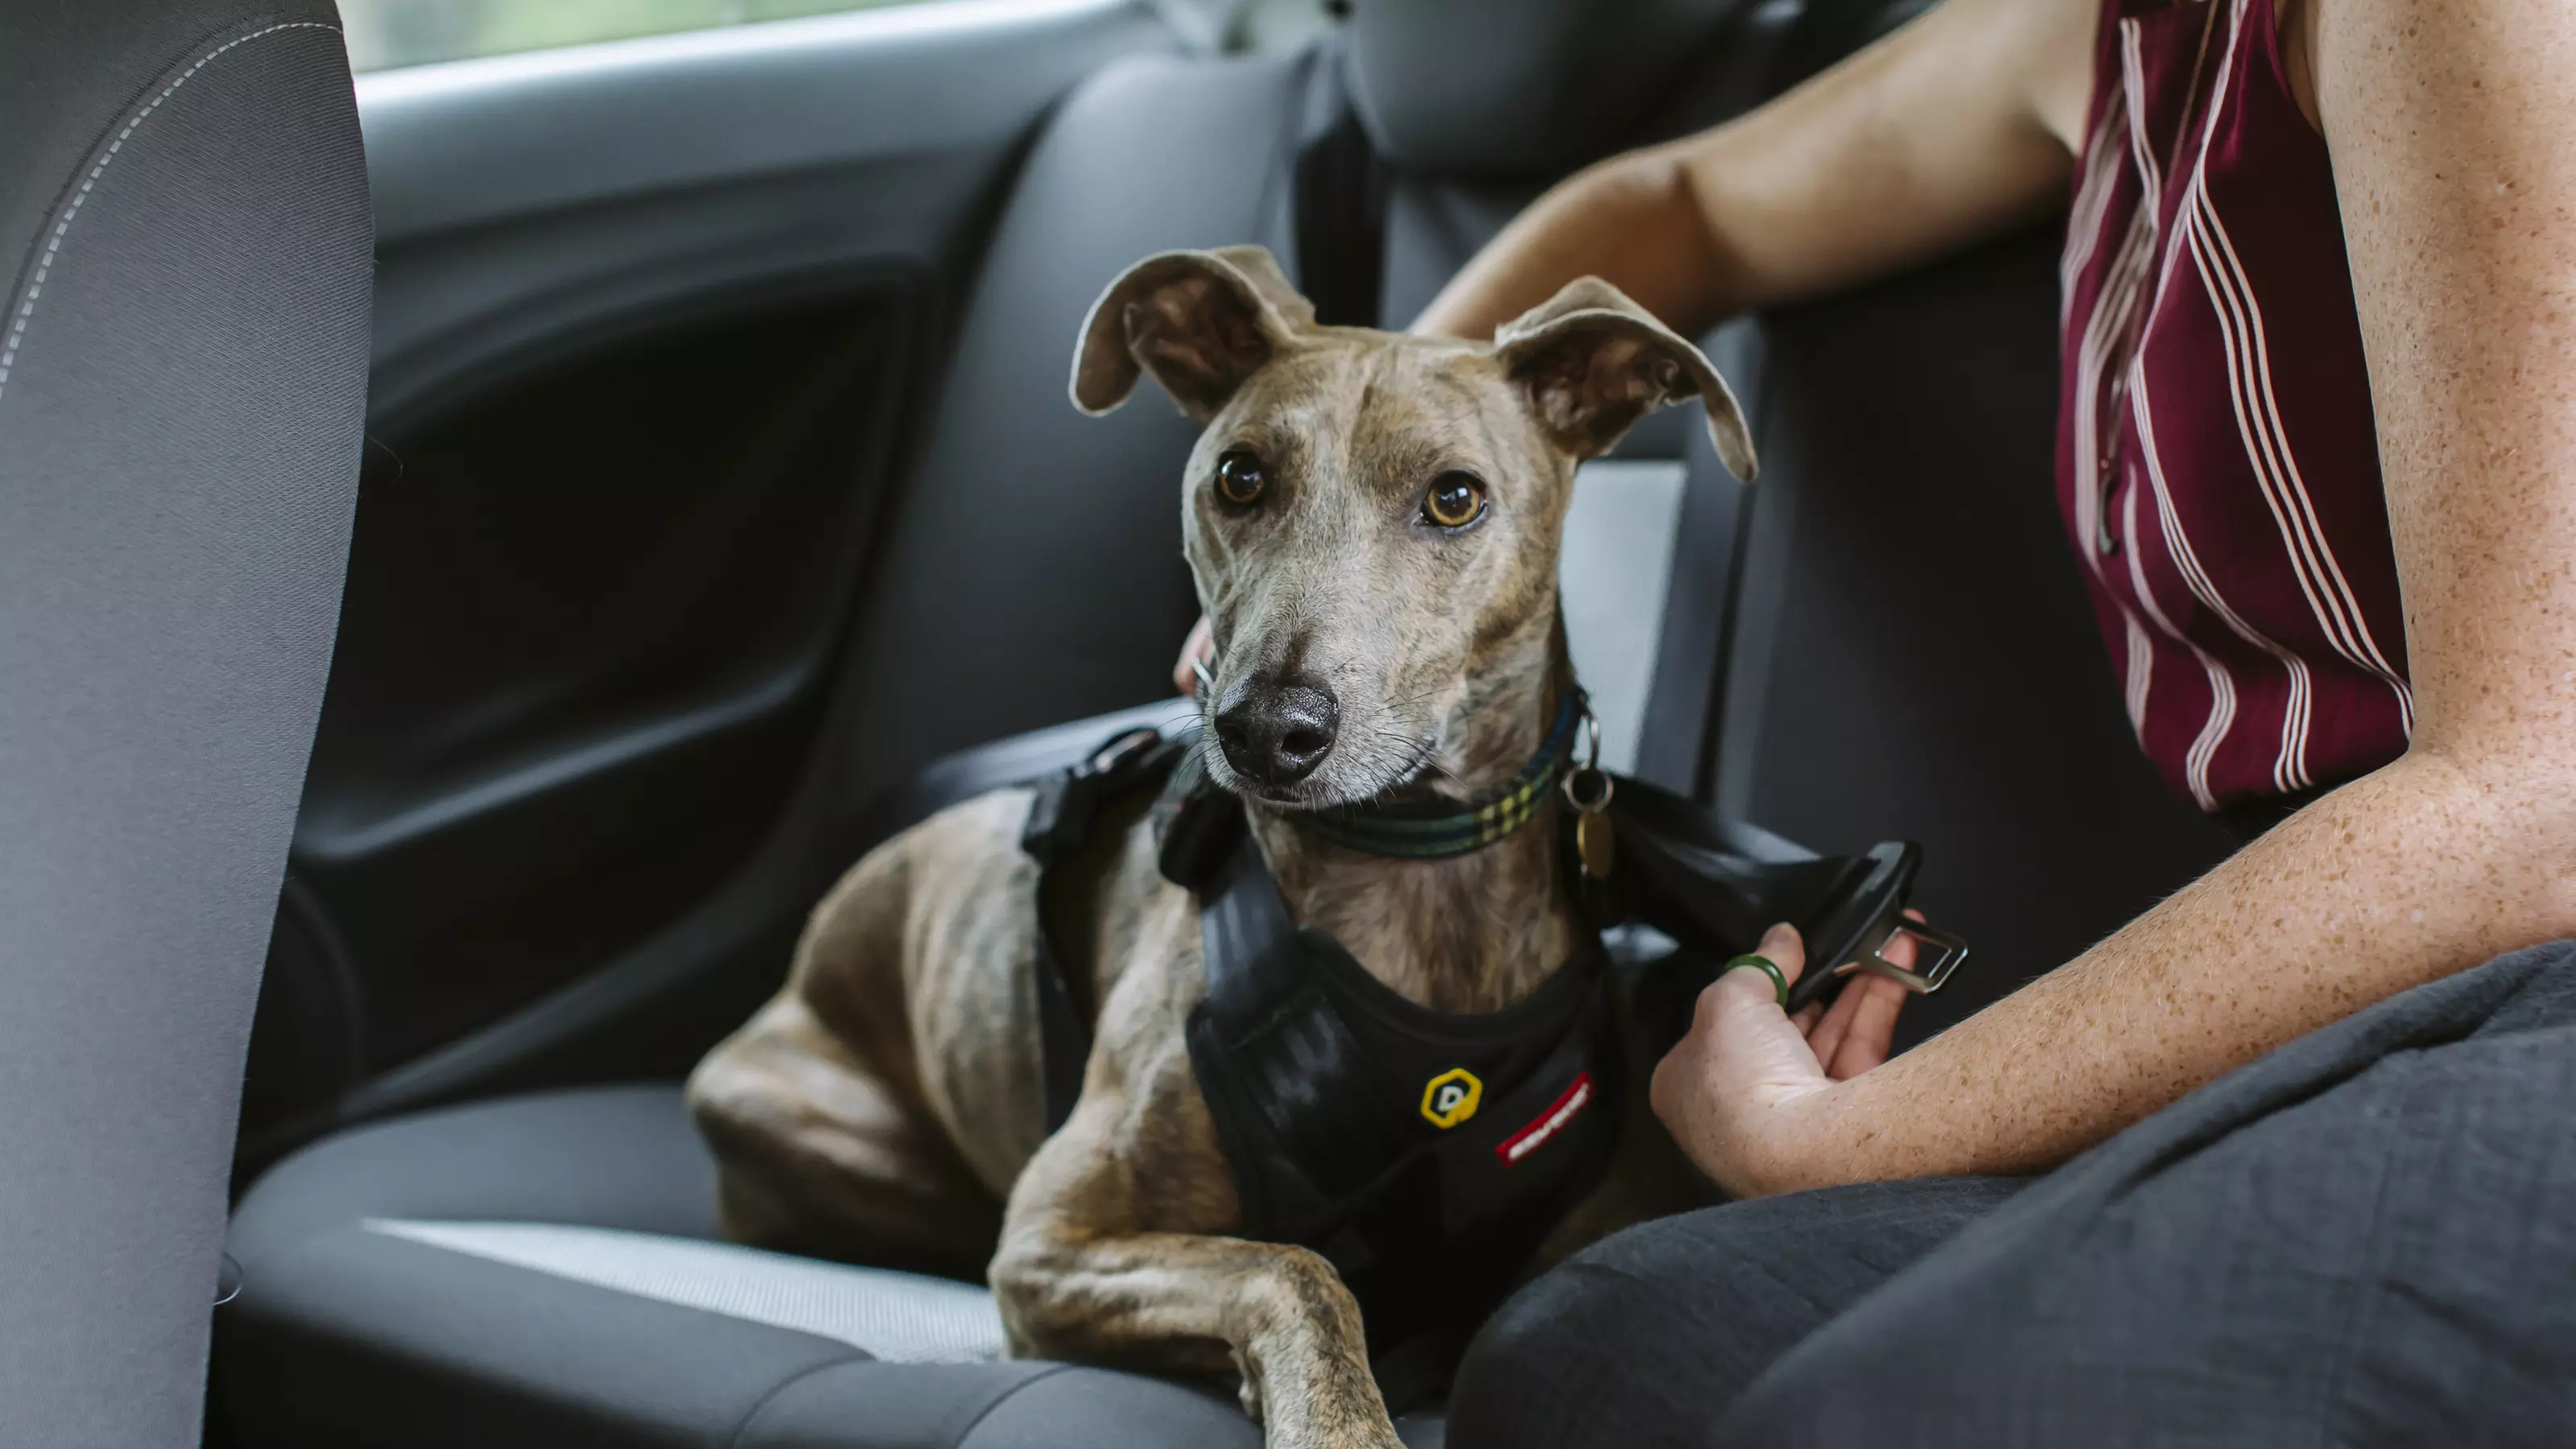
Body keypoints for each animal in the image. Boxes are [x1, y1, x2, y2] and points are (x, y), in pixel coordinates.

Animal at [690, 247, 1752, 1443]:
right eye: (1239, 478)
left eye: (1455, 498)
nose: (1265, 731)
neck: (1408, 877)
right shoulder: (1051, 1238)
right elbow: (1290, 1267)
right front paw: (1336, 1418)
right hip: (802, 1118)